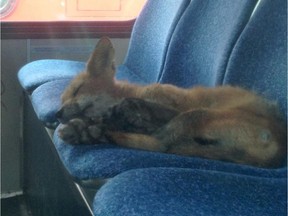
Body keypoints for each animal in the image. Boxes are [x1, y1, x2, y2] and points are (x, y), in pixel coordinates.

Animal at [55, 37, 286, 168]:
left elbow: (141, 112)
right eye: (62, 99)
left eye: (77, 90)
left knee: (161, 145)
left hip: (193, 116)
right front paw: (87, 127)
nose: (57, 114)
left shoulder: (176, 105)